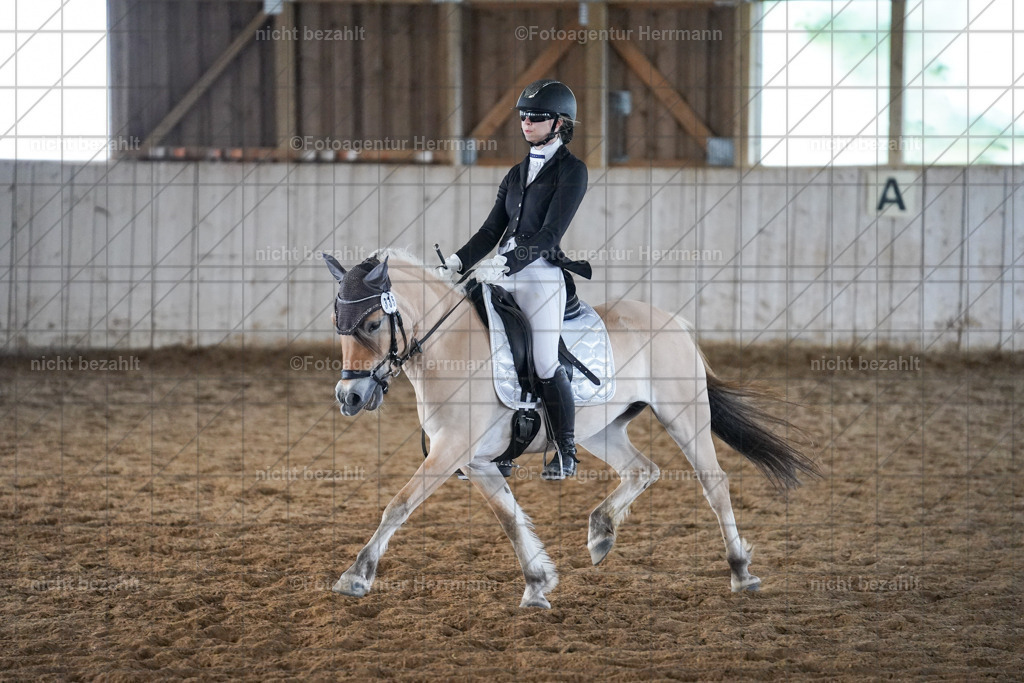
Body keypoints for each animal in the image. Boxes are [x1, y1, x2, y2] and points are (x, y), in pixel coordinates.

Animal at [325, 248, 818, 608]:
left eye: (373, 323)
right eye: (338, 324)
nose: (349, 398)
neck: (452, 347)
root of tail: (674, 321)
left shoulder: (450, 450)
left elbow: (398, 505)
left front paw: (356, 576)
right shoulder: (476, 460)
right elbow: (509, 518)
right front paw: (537, 583)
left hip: (685, 414)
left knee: (714, 483)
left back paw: (740, 572)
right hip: (601, 429)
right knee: (643, 469)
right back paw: (601, 532)